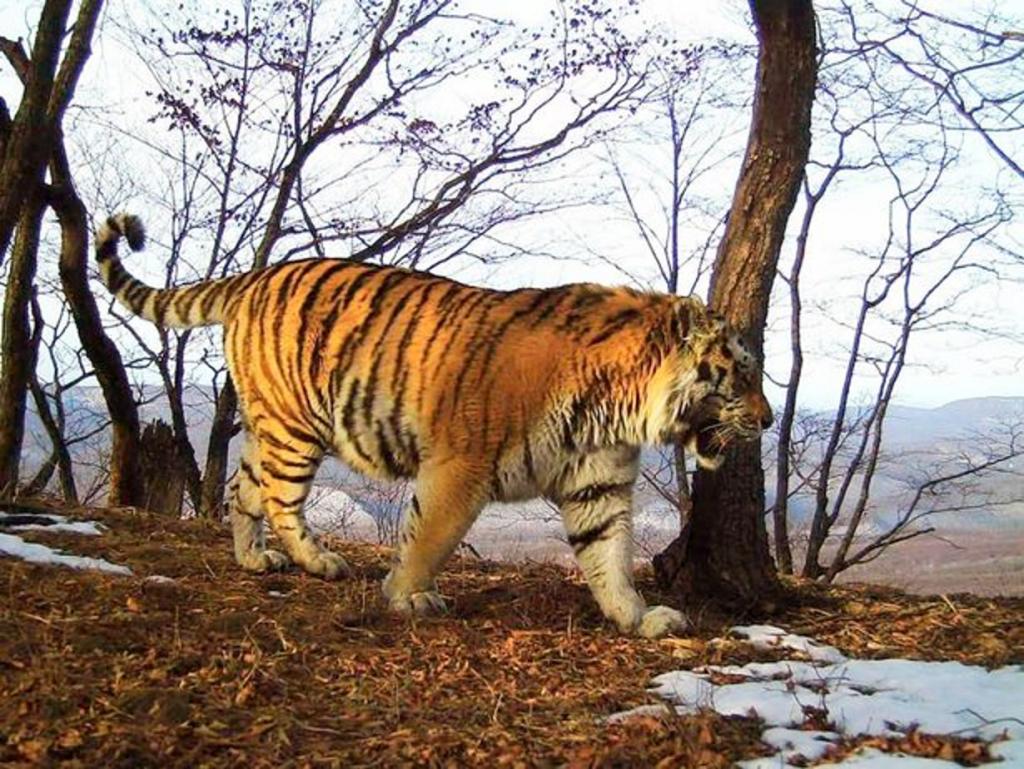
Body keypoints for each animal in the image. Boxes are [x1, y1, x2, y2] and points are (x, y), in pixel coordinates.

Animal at [96, 210, 770, 638]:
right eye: (739, 373)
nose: (765, 421)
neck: (617, 409)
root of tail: (257, 275)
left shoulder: (597, 484)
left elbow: (611, 557)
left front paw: (638, 618)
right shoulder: (460, 466)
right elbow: (431, 536)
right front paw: (408, 595)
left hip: (272, 425)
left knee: (244, 488)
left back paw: (253, 559)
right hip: (297, 427)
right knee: (281, 500)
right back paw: (319, 561)